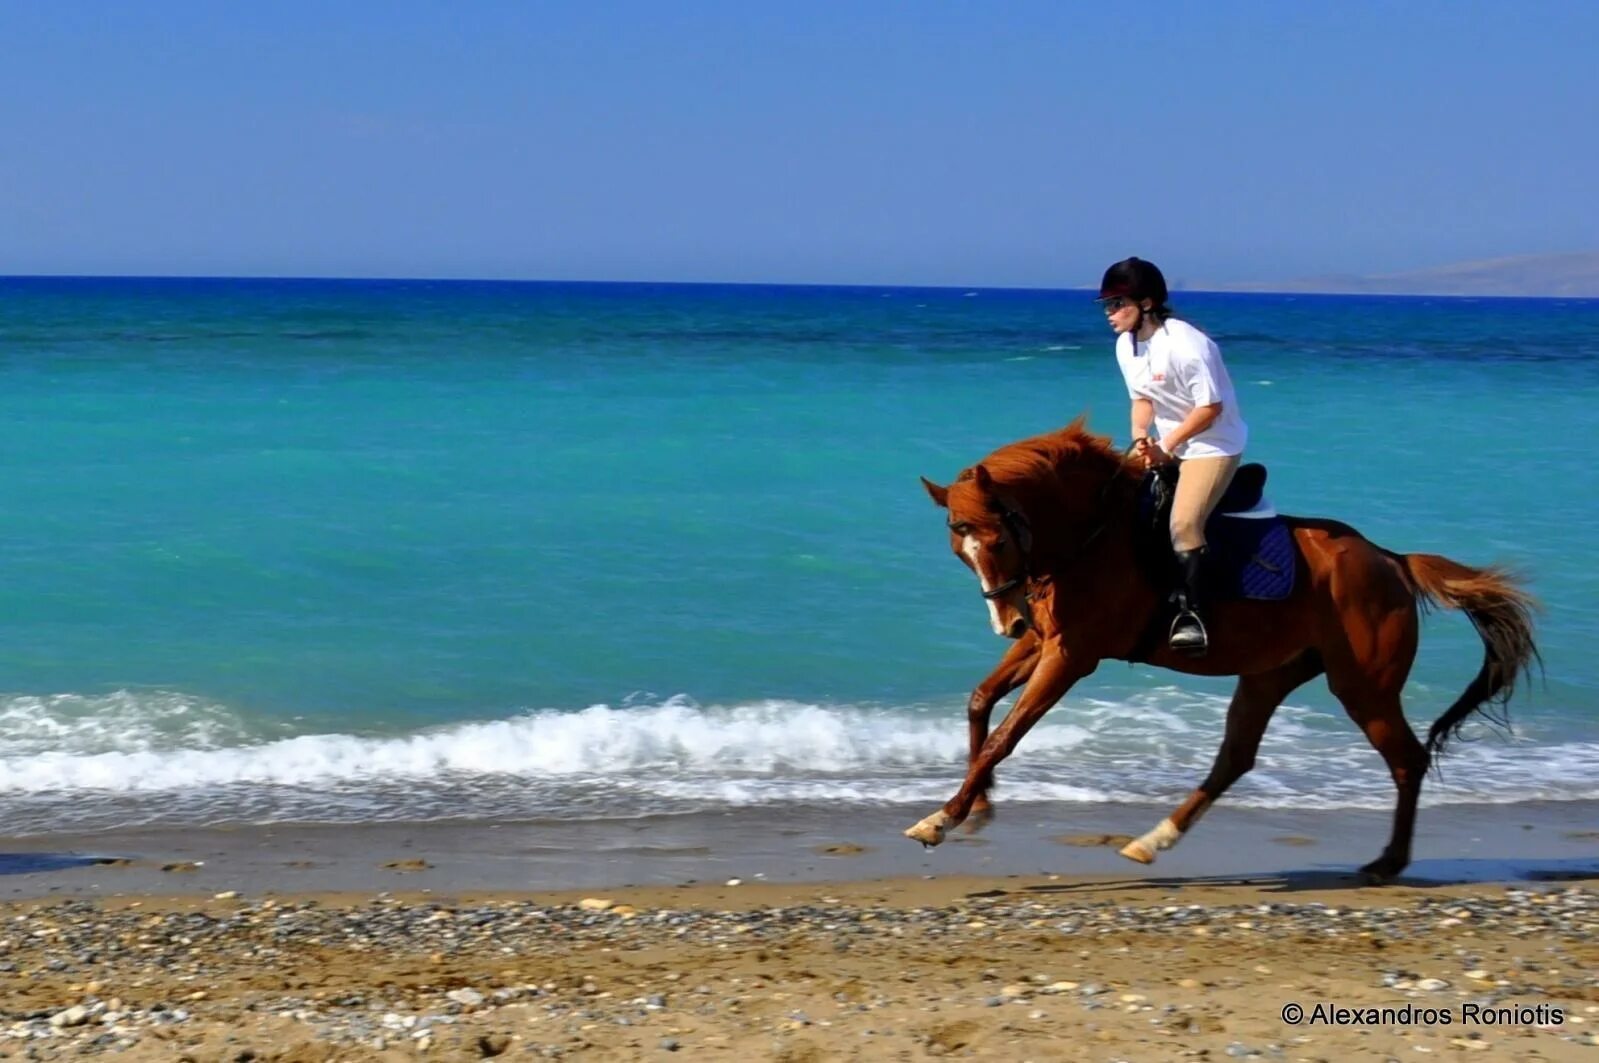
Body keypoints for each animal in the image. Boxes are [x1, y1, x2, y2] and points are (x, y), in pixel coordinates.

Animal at [901, 422, 1535, 875]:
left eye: (998, 542)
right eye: (961, 550)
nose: (1005, 621)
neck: (1092, 536)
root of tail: (1392, 561)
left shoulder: (1072, 655)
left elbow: (1007, 735)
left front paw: (942, 819)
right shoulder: (1043, 642)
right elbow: (980, 702)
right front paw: (979, 806)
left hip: (1363, 687)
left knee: (1406, 760)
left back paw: (1387, 863)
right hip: (1271, 674)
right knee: (1236, 757)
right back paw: (1153, 840)